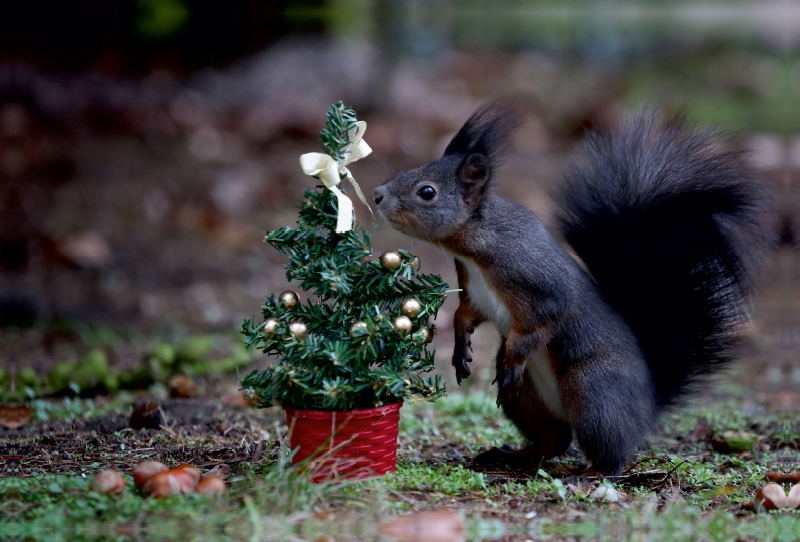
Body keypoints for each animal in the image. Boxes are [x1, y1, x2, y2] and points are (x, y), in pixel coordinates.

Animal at [372, 102, 772, 476]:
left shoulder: (537, 281)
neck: (476, 245)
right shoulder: (474, 291)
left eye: (427, 192)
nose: (376, 194)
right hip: (527, 401)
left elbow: (545, 318)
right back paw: (509, 455)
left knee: (608, 453)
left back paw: (592, 473)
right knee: (556, 441)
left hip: (593, 392)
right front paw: (460, 350)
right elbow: (465, 314)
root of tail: (649, 405)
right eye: (407, 172)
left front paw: (512, 357)